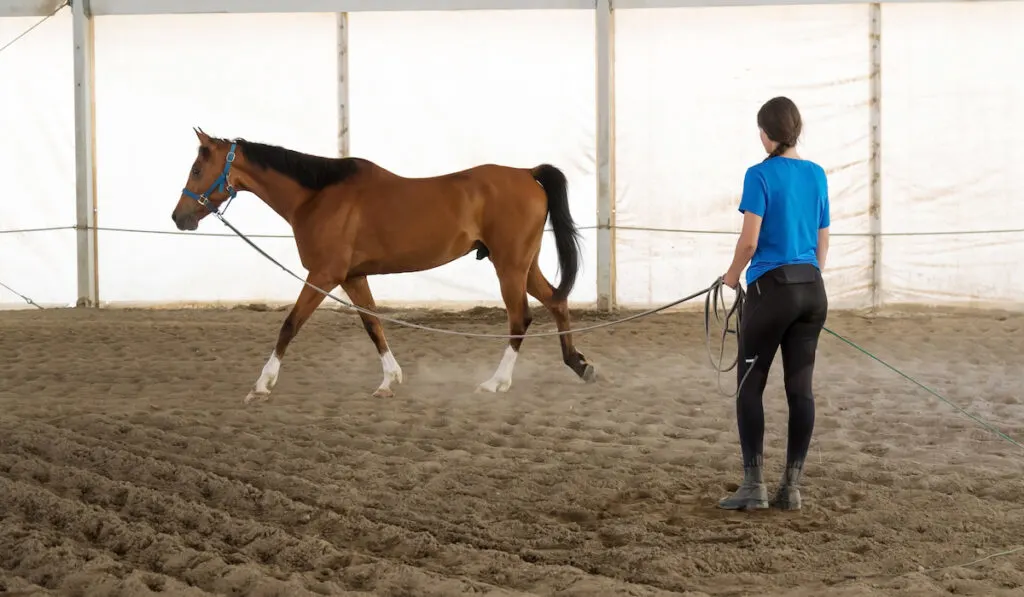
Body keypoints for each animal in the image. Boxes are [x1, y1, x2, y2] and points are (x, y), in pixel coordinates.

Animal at [171, 128, 598, 403]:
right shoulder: (353, 277)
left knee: (520, 318)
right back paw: (579, 364)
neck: (317, 196)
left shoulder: (323, 275)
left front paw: (262, 384)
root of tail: (527, 173)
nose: (179, 217)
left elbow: (290, 325)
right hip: (523, 264)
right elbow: (373, 325)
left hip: (509, 266)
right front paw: (390, 380)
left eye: (196, 170)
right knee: (556, 302)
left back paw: (497, 383)